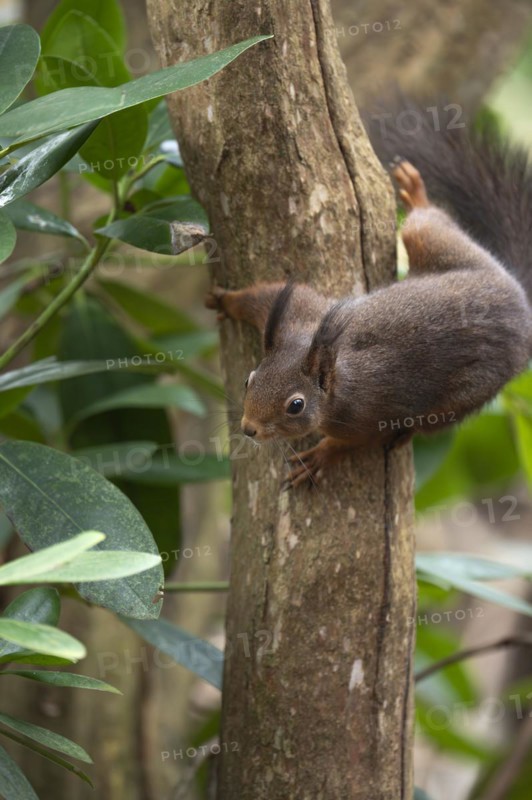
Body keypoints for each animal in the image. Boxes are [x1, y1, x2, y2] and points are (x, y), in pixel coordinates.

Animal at [206, 106, 532, 488]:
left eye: (295, 405)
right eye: (249, 379)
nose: (249, 428)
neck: (336, 379)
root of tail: (519, 300)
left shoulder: (370, 414)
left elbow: (358, 441)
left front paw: (320, 456)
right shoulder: (299, 314)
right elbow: (263, 296)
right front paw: (225, 300)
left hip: (464, 394)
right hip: (442, 247)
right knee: (427, 226)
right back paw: (415, 191)